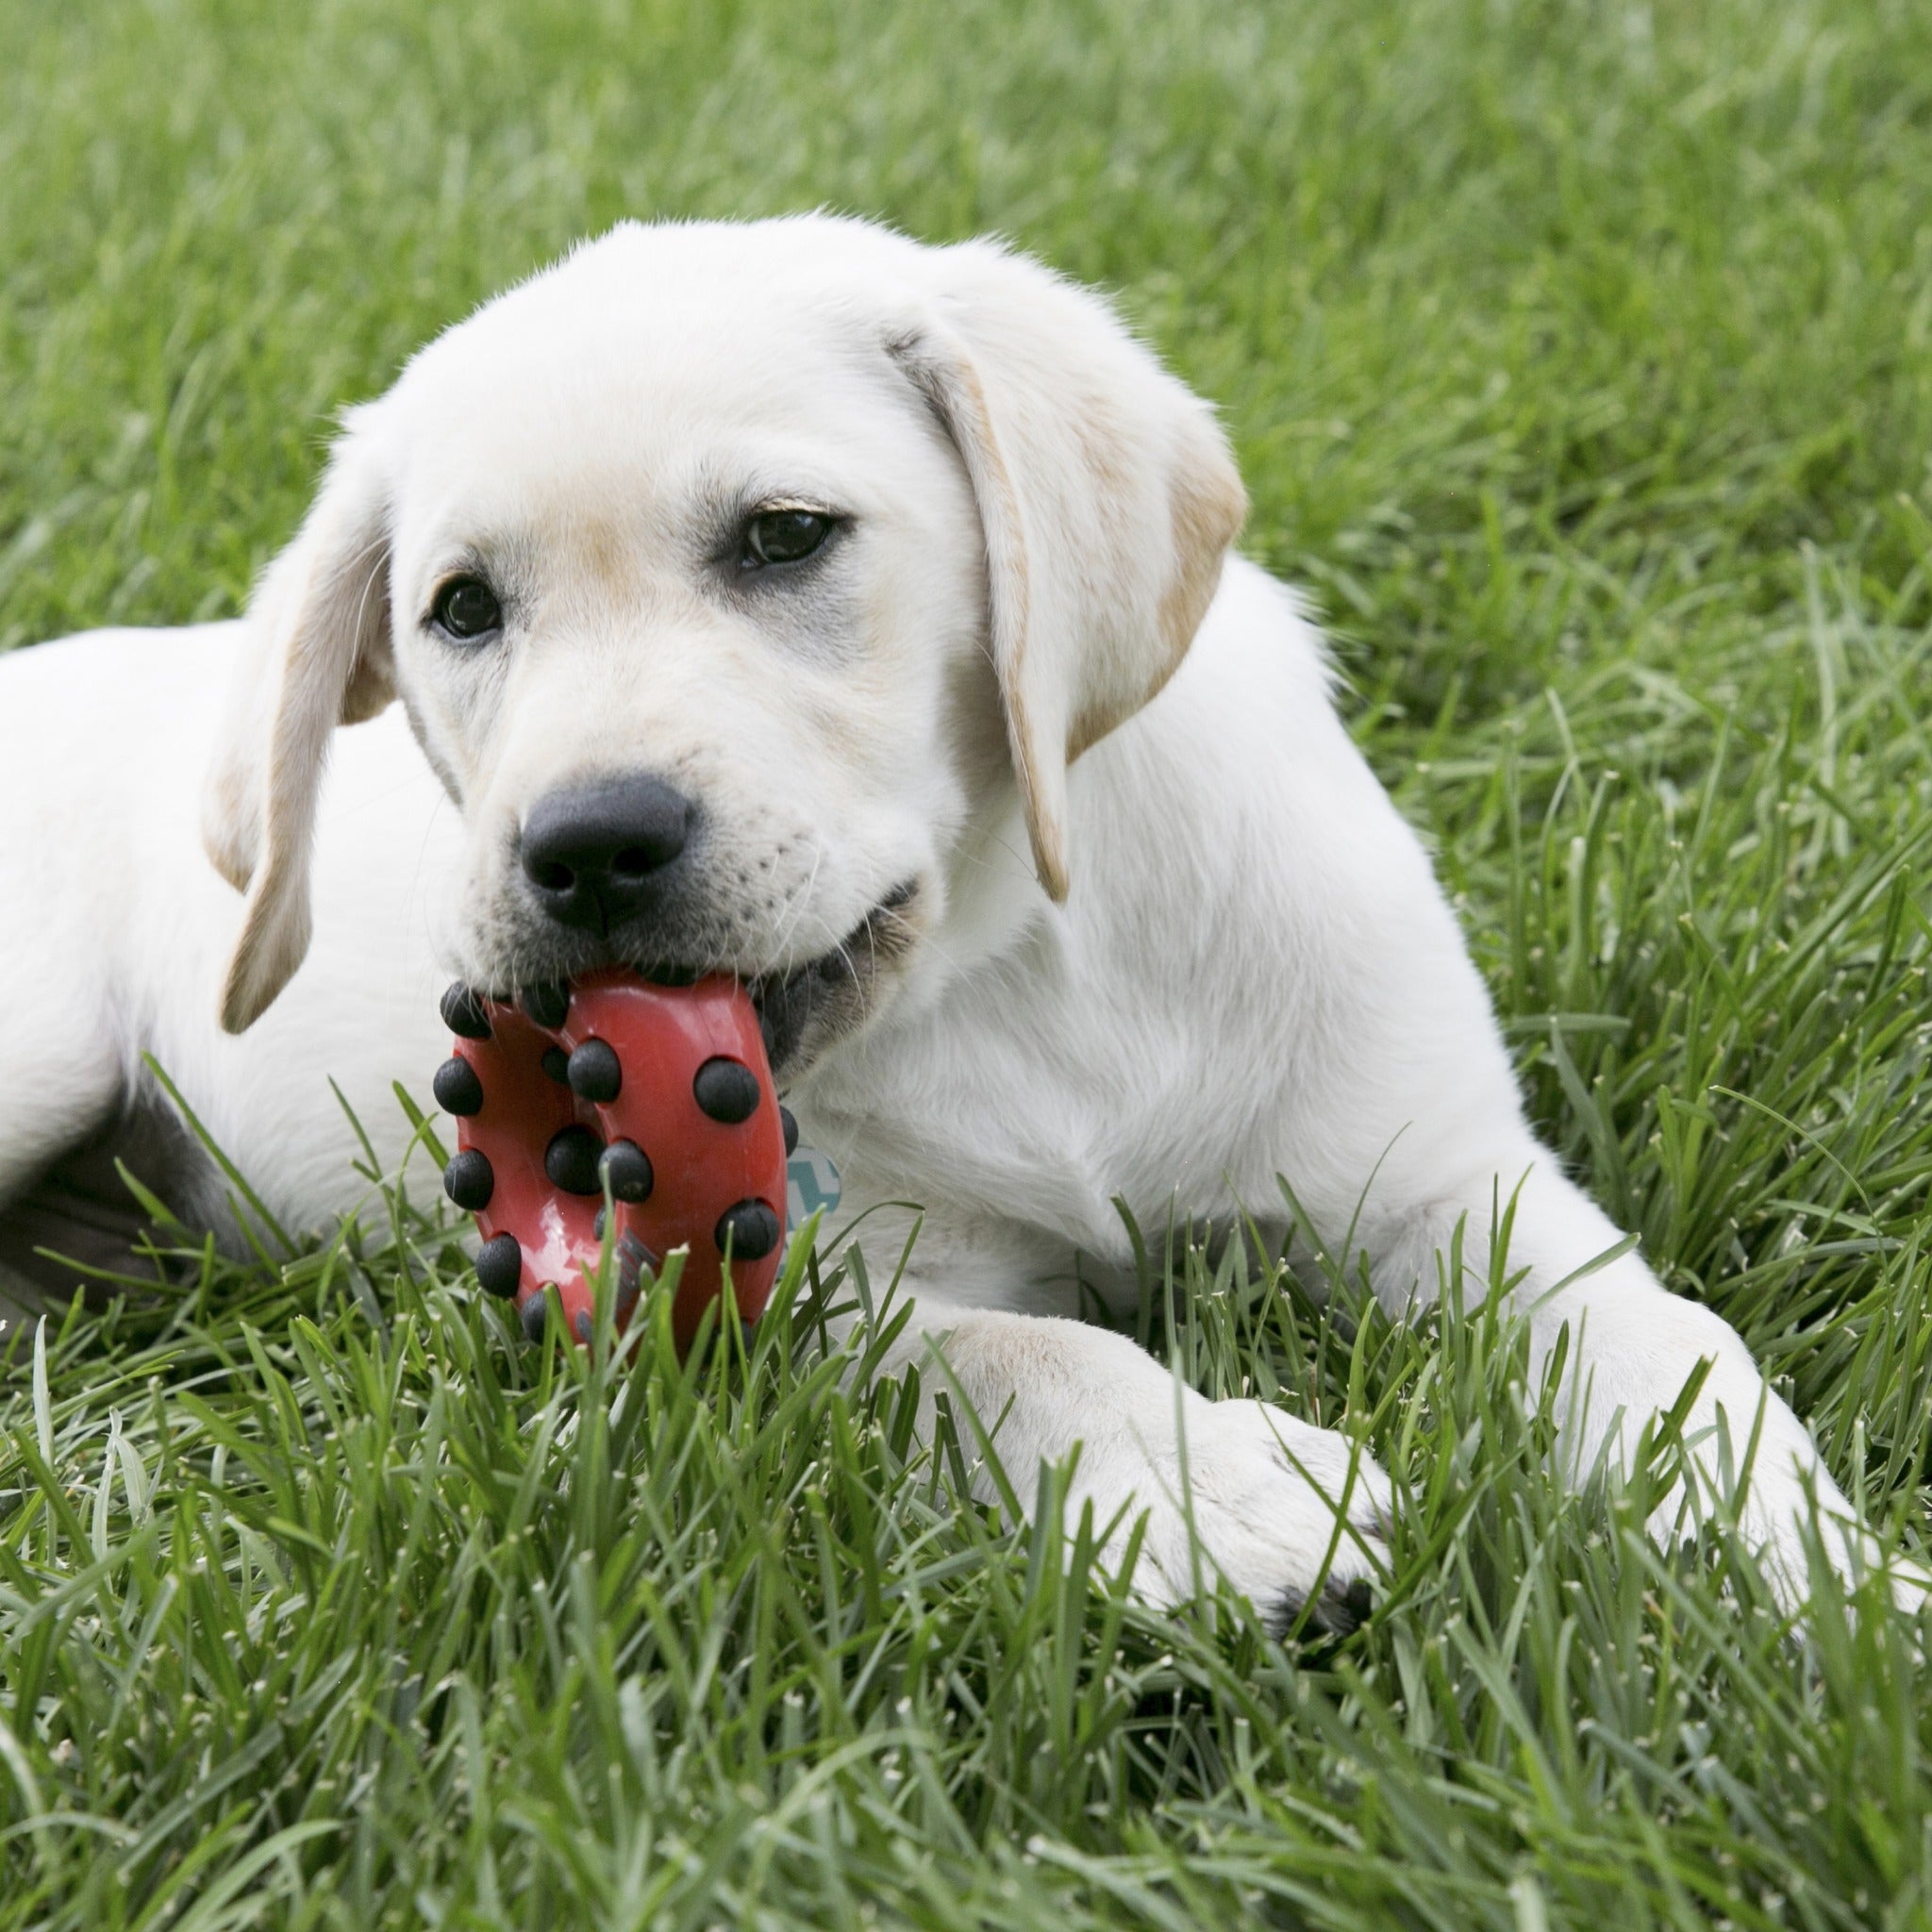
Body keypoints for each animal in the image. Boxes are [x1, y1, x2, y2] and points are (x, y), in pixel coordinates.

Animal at [0, 219, 1870, 1623]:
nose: (583, 848)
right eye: (461, 610)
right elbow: (1017, 1349)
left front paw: (1807, 1566)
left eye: (784, 537)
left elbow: (1665, 1341)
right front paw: (1219, 1491)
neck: (1019, 965)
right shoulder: (827, 1286)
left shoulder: (1448, 1179)